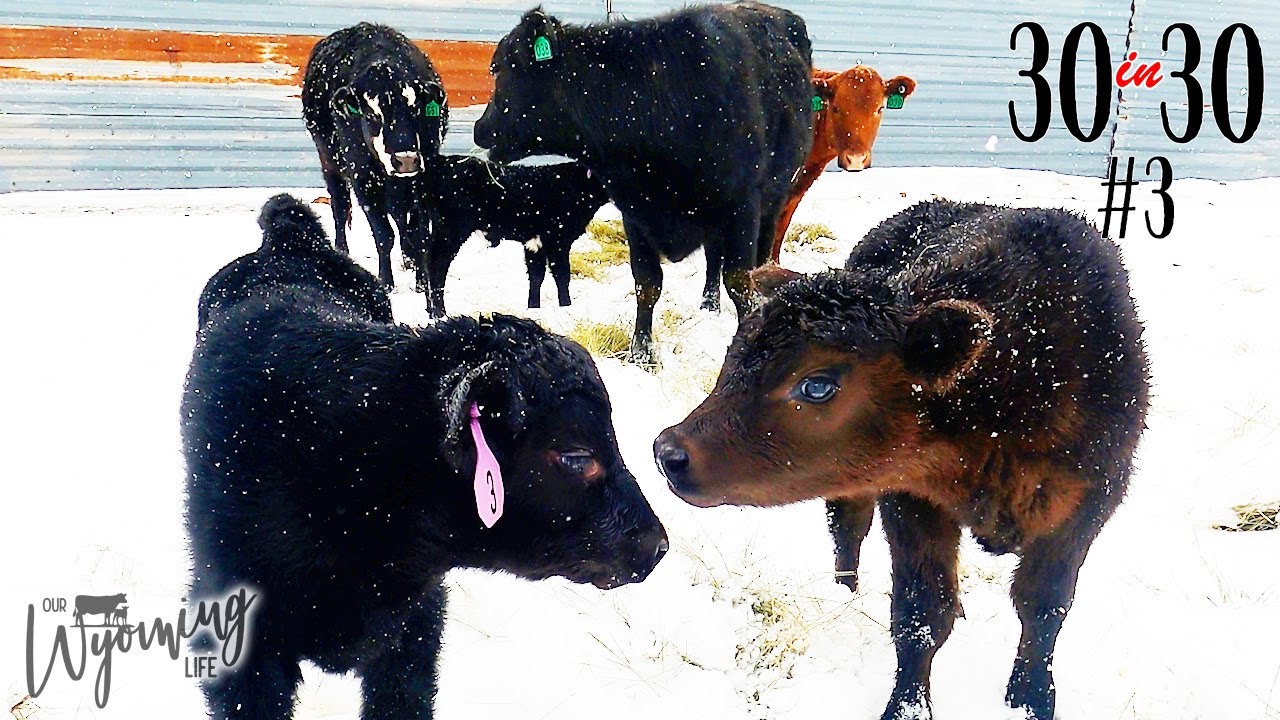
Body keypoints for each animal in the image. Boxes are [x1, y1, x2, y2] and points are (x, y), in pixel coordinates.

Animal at [302, 23, 449, 288]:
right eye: (371, 114)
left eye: (415, 109)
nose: (406, 159)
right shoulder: (364, 180)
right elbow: (383, 234)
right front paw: (386, 281)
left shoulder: (423, 176)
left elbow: (420, 233)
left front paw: (422, 281)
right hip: (329, 164)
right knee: (340, 207)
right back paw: (342, 250)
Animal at [404, 155, 609, 316]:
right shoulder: (557, 241)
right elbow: (562, 275)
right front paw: (566, 307)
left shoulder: (534, 243)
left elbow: (536, 276)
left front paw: (533, 309)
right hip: (451, 232)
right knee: (437, 266)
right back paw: (440, 313)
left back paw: (430, 310)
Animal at [473, 2, 815, 365]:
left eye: (497, 68)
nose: (480, 127)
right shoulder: (636, 212)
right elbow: (647, 284)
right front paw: (641, 353)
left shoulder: (742, 207)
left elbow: (739, 281)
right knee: (712, 258)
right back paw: (708, 304)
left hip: (771, 201)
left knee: (759, 258)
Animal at [654, 200, 1149, 720]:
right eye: (735, 351)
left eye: (817, 384)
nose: (669, 451)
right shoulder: (911, 497)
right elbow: (922, 614)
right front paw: (907, 707)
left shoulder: (1087, 507)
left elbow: (1044, 605)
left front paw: (1031, 696)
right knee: (847, 526)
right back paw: (843, 594)